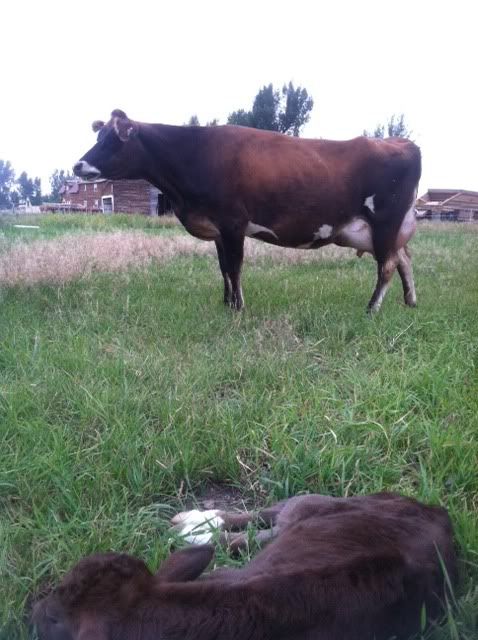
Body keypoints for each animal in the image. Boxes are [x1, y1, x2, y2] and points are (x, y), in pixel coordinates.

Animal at [33, 492, 456, 640]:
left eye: (54, 620)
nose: (31, 610)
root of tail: (438, 513)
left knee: (267, 523)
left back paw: (197, 528)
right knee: (271, 517)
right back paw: (197, 522)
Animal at [73, 110, 421, 312]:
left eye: (113, 140)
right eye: (99, 136)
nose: (78, 165)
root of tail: (400, 142)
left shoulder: (233, 223)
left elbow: (235, 267)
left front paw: (238, 308)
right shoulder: (217, 228)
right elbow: (223, 268)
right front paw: (227, 303)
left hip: (385, 222)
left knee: (387, 265)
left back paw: (372, 309)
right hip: (380, 231)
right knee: (403, 259)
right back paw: (410, 302)